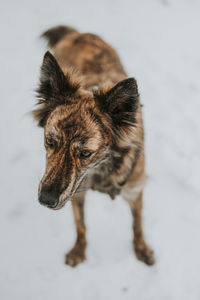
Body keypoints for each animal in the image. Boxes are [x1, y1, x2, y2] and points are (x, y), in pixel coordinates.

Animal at [33, 24, 155, 266]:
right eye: (50, 141)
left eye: (85, 153)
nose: (46, 200)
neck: (101, 167)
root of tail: (77, 33)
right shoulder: (75, 192)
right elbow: (80, 225)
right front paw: (79, 250)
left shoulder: (134, 191)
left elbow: (137, 225)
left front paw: (141, 249)